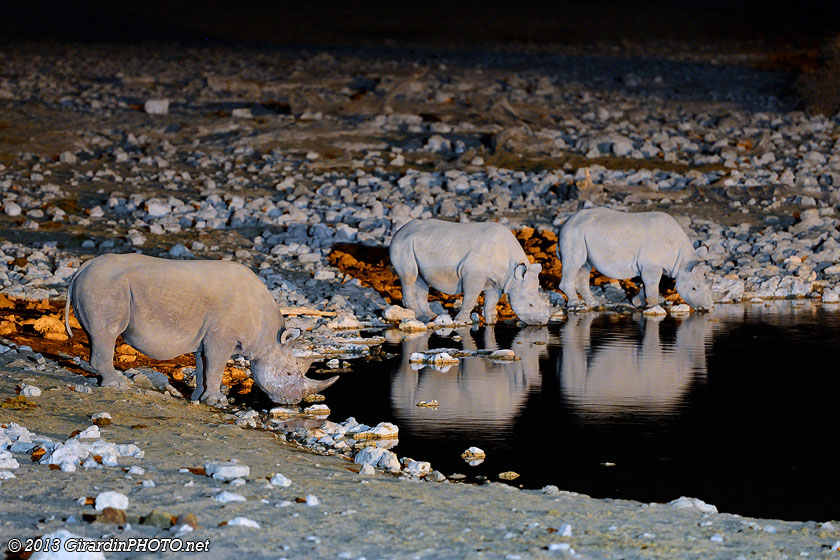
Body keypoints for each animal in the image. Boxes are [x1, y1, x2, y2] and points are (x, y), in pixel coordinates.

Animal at [64, 253, 338, 405]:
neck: (268, 336)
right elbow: (216, 366)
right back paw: (118, 385)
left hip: (99, 283)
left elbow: (202, 366)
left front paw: (198, 397)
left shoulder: (206, 337)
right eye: (290, 374)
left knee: (98, 335)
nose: (294, 402)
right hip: (106, 286)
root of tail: (83, 267)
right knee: (108, 333)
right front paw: (216, 401)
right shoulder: (222, 338)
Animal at [390, 219, 550, 324]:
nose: (542, 322)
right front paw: (461, 321)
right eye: (530, 305)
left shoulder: (496, 281)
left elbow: (491, 301)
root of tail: (399, 231)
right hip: (402, 244)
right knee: (409, 276)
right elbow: (470, 298)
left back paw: (430, 316)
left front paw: (491, 321)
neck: (512, 271)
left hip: (415, 243)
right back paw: (419, 316)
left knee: (420, 279)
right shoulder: (473, 275)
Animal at [557, 208, 714, 310]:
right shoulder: (651, 265)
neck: (682, 262)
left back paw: (593, 303)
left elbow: (646, 285)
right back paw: (576, 304)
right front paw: (654, 306)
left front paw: (638, 303)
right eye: (693, 288)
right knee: (574, 263)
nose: (706, 308)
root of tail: (566, 222)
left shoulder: (648, 265)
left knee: (584, 265)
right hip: (573, 232)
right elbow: (652, 285)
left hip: (580, 233)